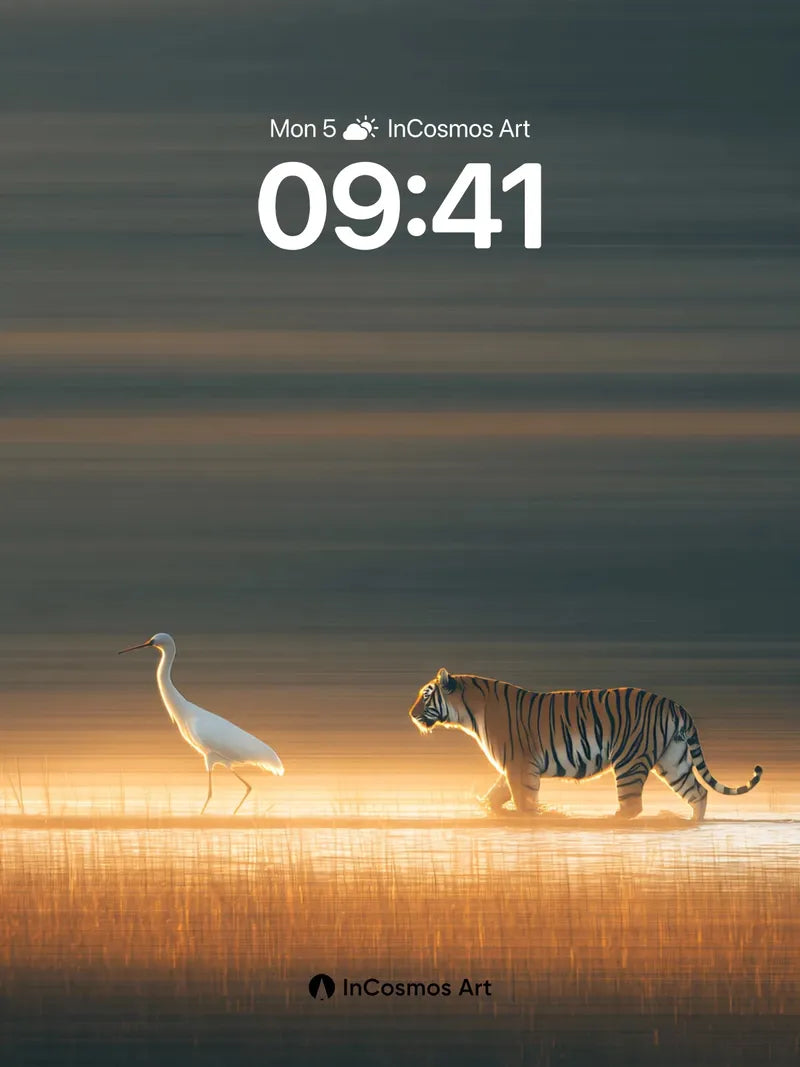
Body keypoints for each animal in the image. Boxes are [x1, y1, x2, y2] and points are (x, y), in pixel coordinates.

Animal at [409, 668, 763, 821]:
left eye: (426, 695)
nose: (411, 715)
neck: (470, 711)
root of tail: (675, 704)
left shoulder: (519, 766)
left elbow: (523, 800)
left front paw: (535, 815)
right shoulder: (512, 767)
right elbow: (496, 796)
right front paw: (493, 808)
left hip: (630, 761)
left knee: (632, 806)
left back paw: (609, 821)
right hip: (673, 760)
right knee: (698, 793)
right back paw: (691, 823)